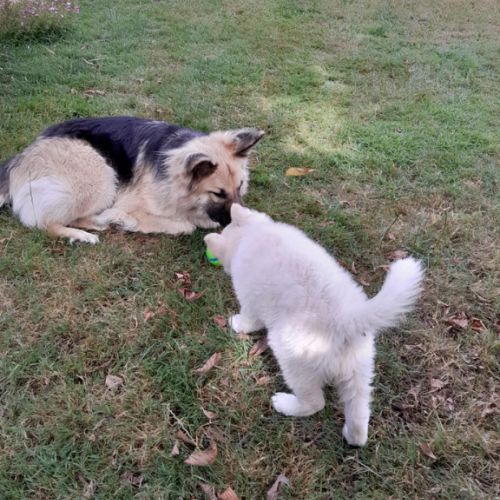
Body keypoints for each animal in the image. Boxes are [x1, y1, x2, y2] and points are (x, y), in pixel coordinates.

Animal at [0, 116, 264, 243]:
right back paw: (86, 232)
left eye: (241, 186)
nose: (243, 222)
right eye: (218, 193)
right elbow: (185, 226)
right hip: (102, 176)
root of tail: (19, 159)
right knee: (43, 222)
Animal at [204, 204, 424, 446]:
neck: (252, 234)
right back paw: (352, 436)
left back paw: (285, 404)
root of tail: (347, 320)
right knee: (359, 413)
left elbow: (249, 319)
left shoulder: (250, 299)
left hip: (295, 363)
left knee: (315, 403)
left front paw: (236, 324)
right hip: (360, 369)